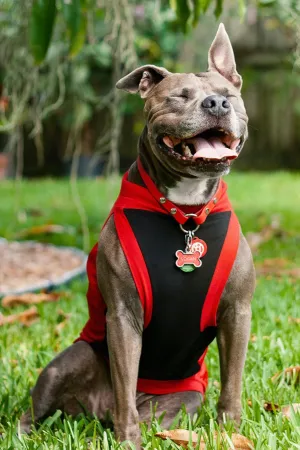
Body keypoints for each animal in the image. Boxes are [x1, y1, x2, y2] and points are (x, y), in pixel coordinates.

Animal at [20, 23, 255, 446]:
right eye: (179, 97)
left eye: (229, 96)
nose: (216, 103)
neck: (185, 214)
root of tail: (95, 413)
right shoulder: (124, 316)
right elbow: (125, 384)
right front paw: (127, 441)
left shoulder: (237, 311)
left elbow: (232, 382)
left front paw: (230, 431)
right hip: (72, 360)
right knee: (40, 410)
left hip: (184, 400)